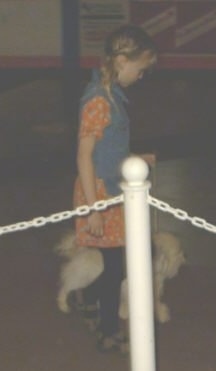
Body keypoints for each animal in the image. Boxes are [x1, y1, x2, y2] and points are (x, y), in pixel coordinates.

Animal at [54, 231, 185, 324]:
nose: (184, 257)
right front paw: (161, 314)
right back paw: (63, 305)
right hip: (82, 277)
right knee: (65, 287)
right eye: (178, 253)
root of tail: (81, 250)